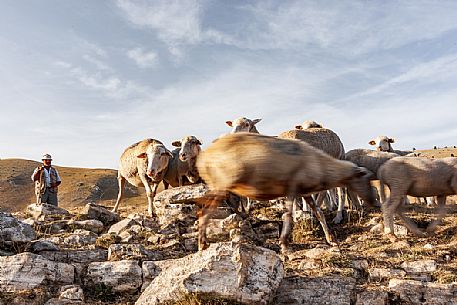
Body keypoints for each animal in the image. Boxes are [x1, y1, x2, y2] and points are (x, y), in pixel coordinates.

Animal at [196, 133, 374, 252]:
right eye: (365, 178)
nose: (373, 203)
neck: (322, 167)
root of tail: (202, 159)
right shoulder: (292, 189)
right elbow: (288, 216)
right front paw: (284, 244)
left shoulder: (304, 192)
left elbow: (319, 213)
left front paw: (331, 239)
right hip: (222, 186)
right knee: (204, 212)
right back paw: (202, 244)